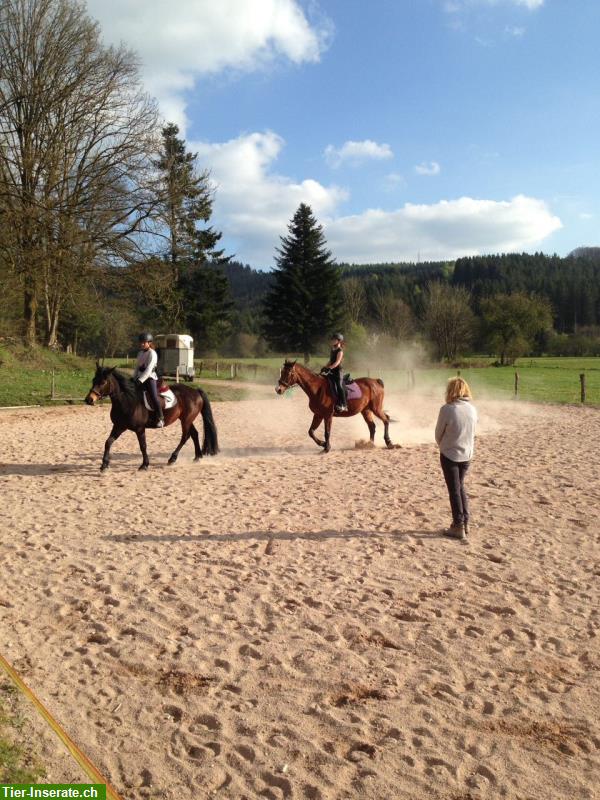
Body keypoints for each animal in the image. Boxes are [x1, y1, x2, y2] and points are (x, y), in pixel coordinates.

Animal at [85, 368, 219, 472]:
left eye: (103, 382)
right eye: (93, 380)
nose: (89, 400)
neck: (127, 400)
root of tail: (196, 391)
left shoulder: (139, 429)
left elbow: (143, 446)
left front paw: (144, 465)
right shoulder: (119, 426)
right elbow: (108, 442)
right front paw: (104, 465)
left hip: (186, 420)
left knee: (185, 437)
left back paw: (172, 459)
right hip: (186, 419)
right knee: (194, 434)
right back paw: (197, 457)